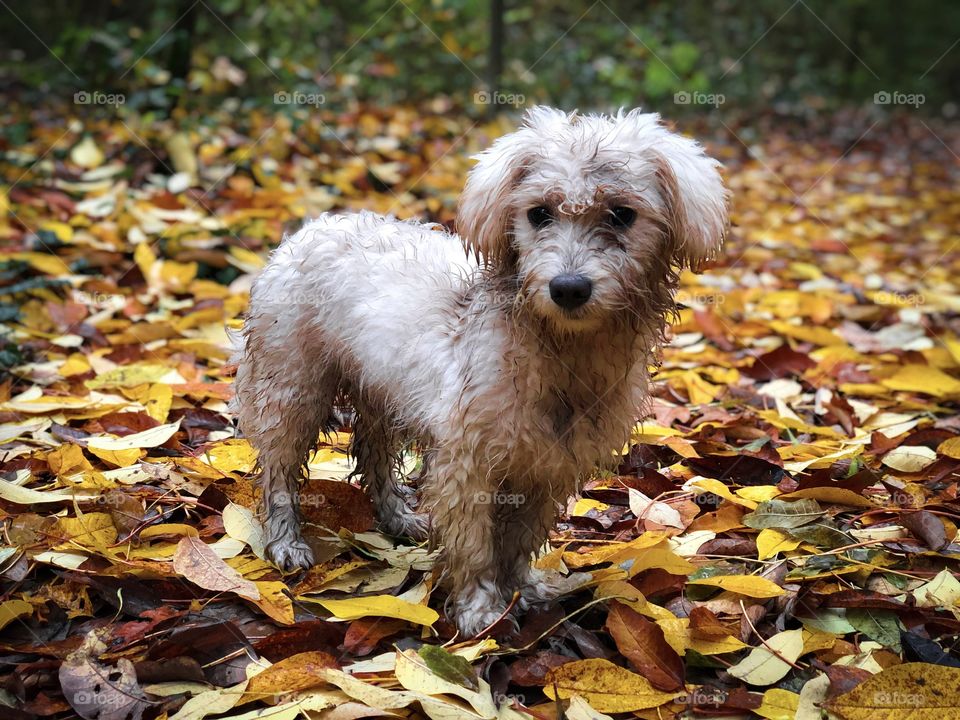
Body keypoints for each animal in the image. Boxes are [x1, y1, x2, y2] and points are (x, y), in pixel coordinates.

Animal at [234, 107, 728, 636]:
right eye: (539, 213)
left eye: (622, 214)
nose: (568, 288)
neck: (562, 353)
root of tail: (313, 226)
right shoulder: (466, 462)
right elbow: (474, 543)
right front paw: (481, 611)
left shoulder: (549, 465)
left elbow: (520, 538)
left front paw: (521, 589)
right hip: (292, 387)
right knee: (280, 470)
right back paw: (286, 541)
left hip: (382, 390)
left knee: (374, 453)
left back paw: (398, 518)